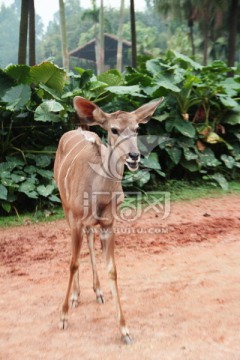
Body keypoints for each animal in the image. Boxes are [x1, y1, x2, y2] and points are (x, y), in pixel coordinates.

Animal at [54, 95, 163, 344]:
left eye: (136, 129)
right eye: (114, 129)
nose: (134, 156)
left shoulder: (108, 225)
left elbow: (112, 269)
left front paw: (124, 330)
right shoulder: (76, 219)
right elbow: (73, 263)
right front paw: (63, 317)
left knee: (89, 237)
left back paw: (98, 291)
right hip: (65, 206)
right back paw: (76, 296)